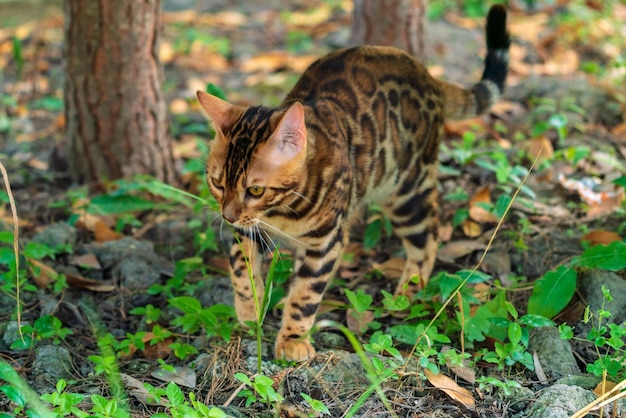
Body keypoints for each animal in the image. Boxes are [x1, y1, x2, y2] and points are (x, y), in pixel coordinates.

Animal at [197, 4, 510, 360]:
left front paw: (292, 339)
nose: (227, 216)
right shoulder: (250, 230)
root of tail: (426, 74)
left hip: (407, 191)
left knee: (427, 238)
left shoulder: (324, 241)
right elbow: (242, 268)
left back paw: (407, 293)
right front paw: (250, 311)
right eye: (217, 184)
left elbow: (306, 293)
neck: (282, 212)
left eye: (255, 190)